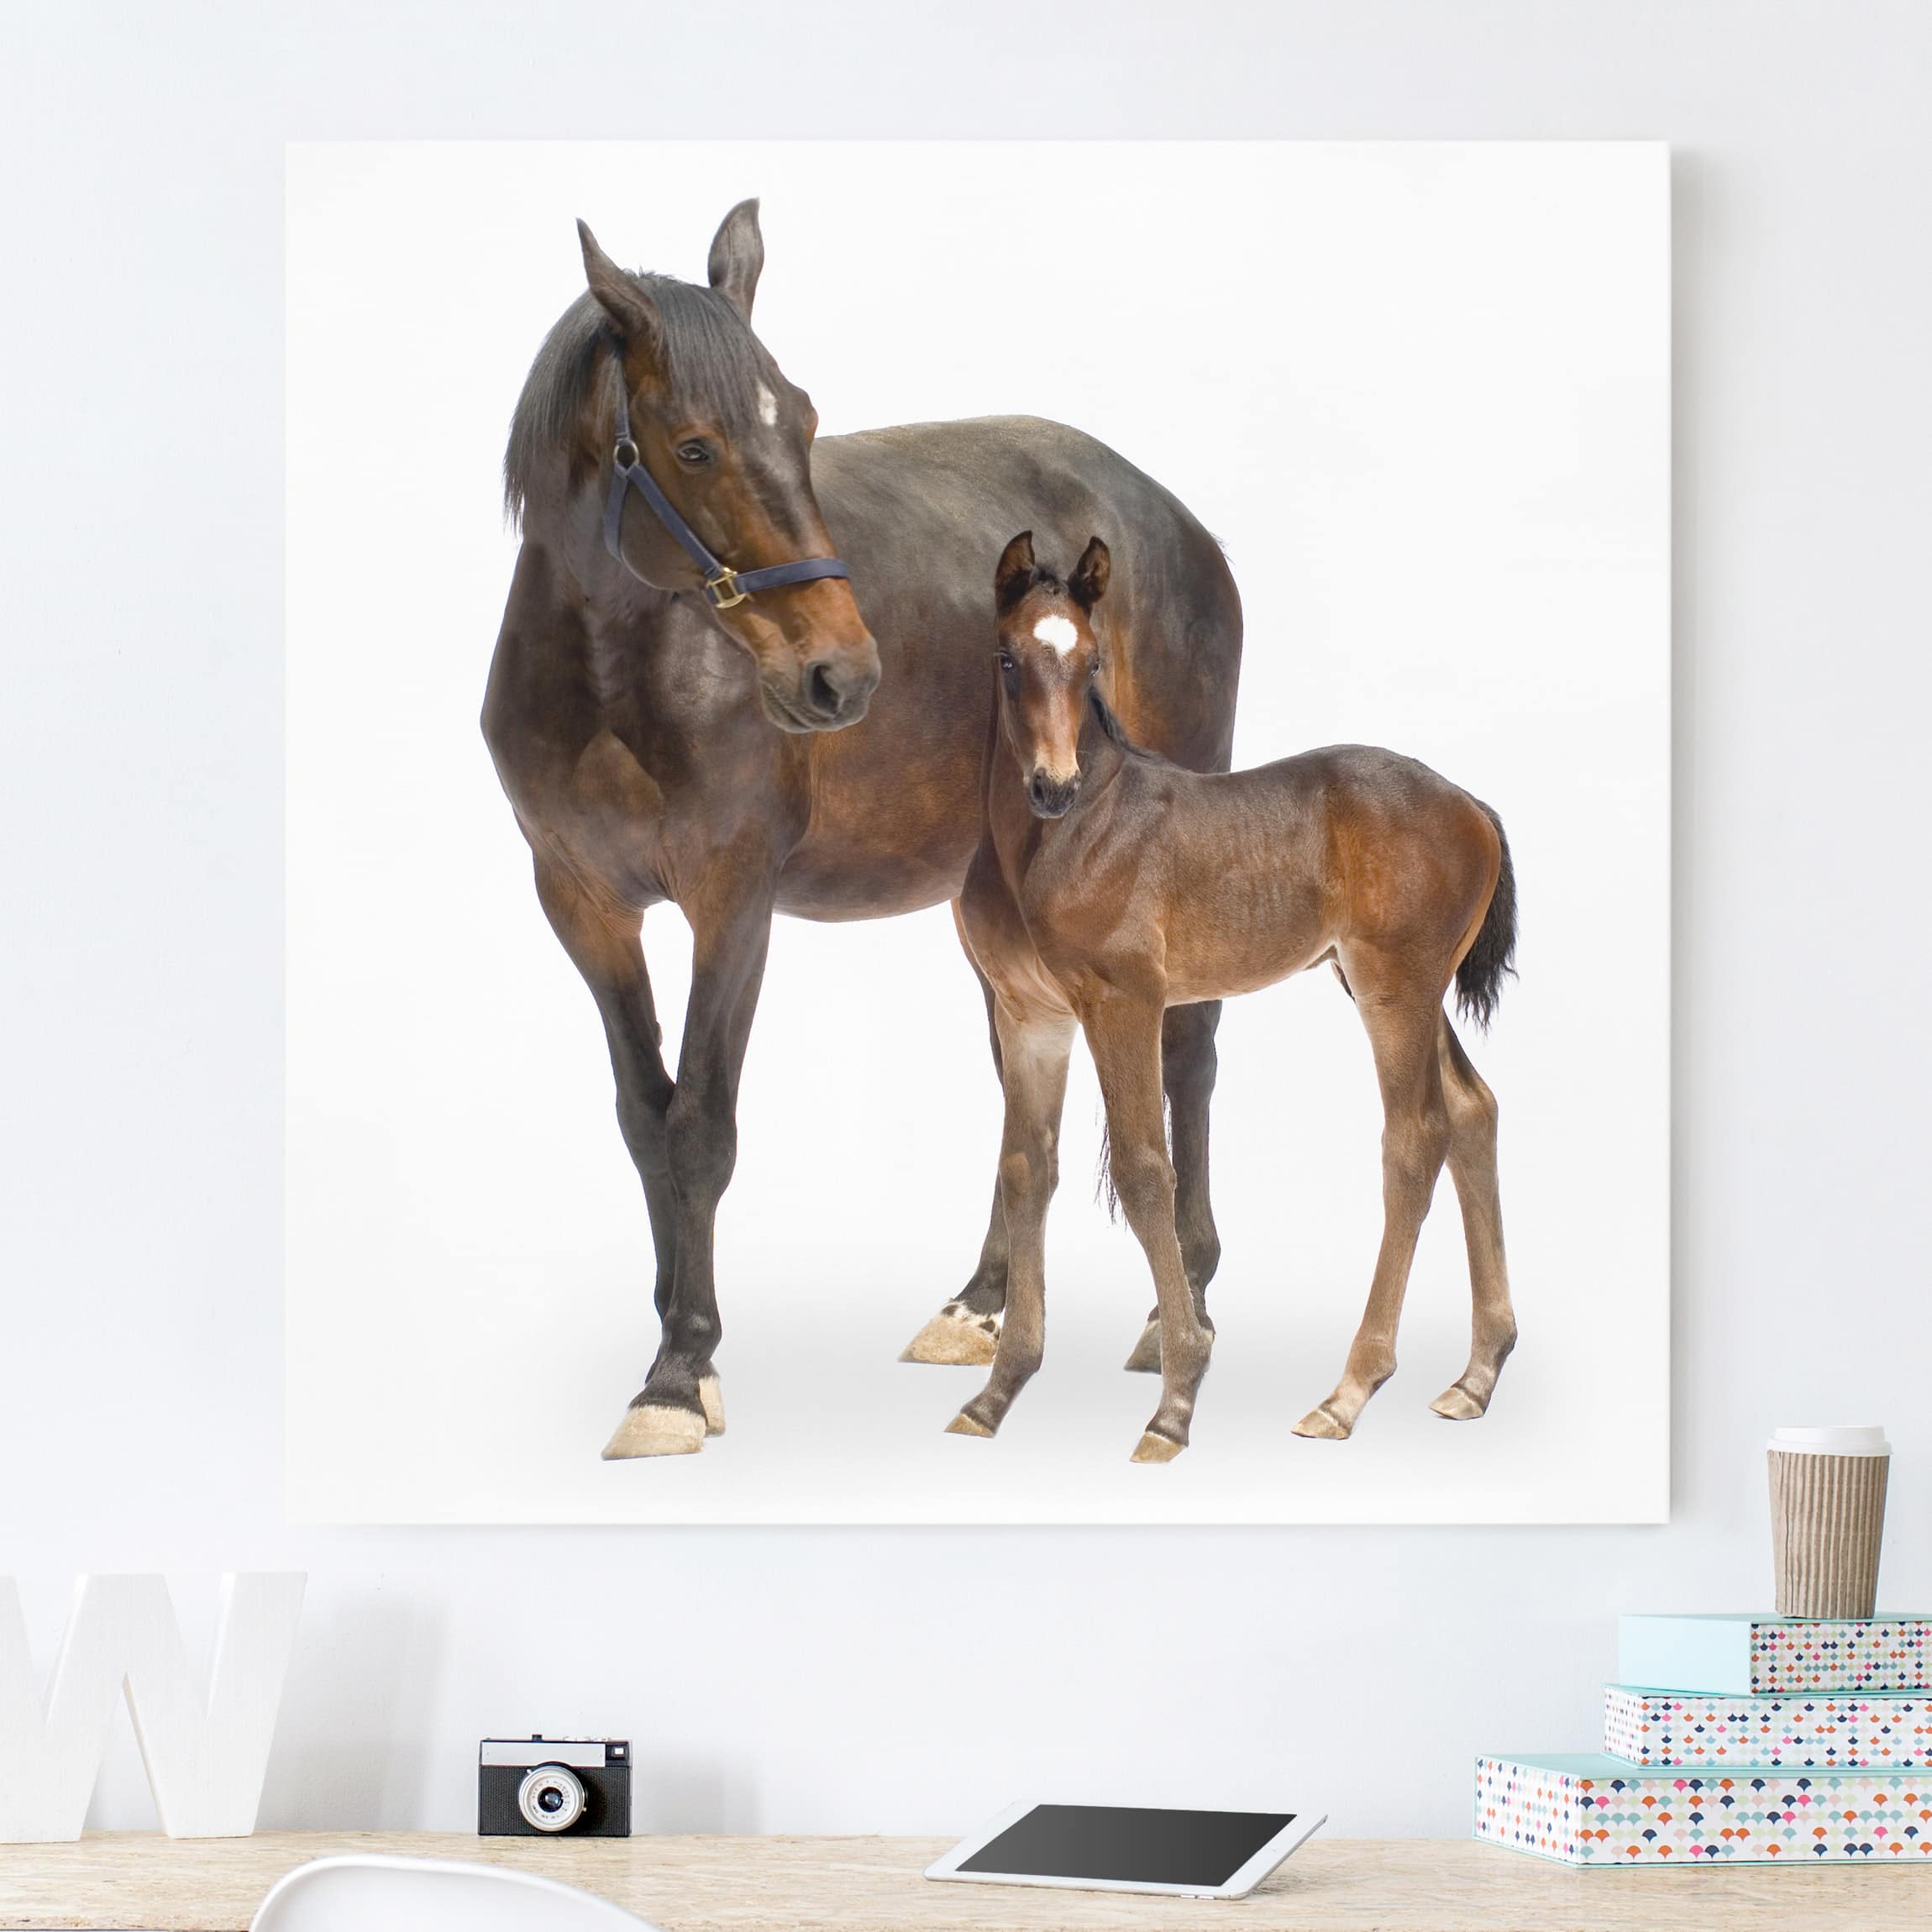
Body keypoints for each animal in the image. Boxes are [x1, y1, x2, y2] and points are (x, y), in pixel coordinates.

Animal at [482, 204, 1243, 1457]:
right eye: (692, 446)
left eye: (802, 419)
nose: (841, 673)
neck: (618, 676)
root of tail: (1177, 521)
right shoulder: (582, 908)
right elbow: (647, 1120)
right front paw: (679, 1341)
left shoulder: (732, 904)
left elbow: (702, 1127)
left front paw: (678, 1370)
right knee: (1022, 1085)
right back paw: (983, 1305)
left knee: (1188, 1054)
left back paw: (1178, 1302)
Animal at [949, 532, 1518, 1461]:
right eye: (1006, 657)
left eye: (1093, 659)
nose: (1052, 785)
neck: (1071, 835)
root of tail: (1471, 805)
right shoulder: (1031, 1014)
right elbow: (1026, 1169)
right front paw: (996, 1392)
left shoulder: (1126, 1002)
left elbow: (1147, 1171)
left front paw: (1175, 1398)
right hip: (1397, 986)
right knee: (1472, 1110)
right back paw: (1475, 1375)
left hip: (1393, 989)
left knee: (1414, 1136)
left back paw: (1347, 1392)